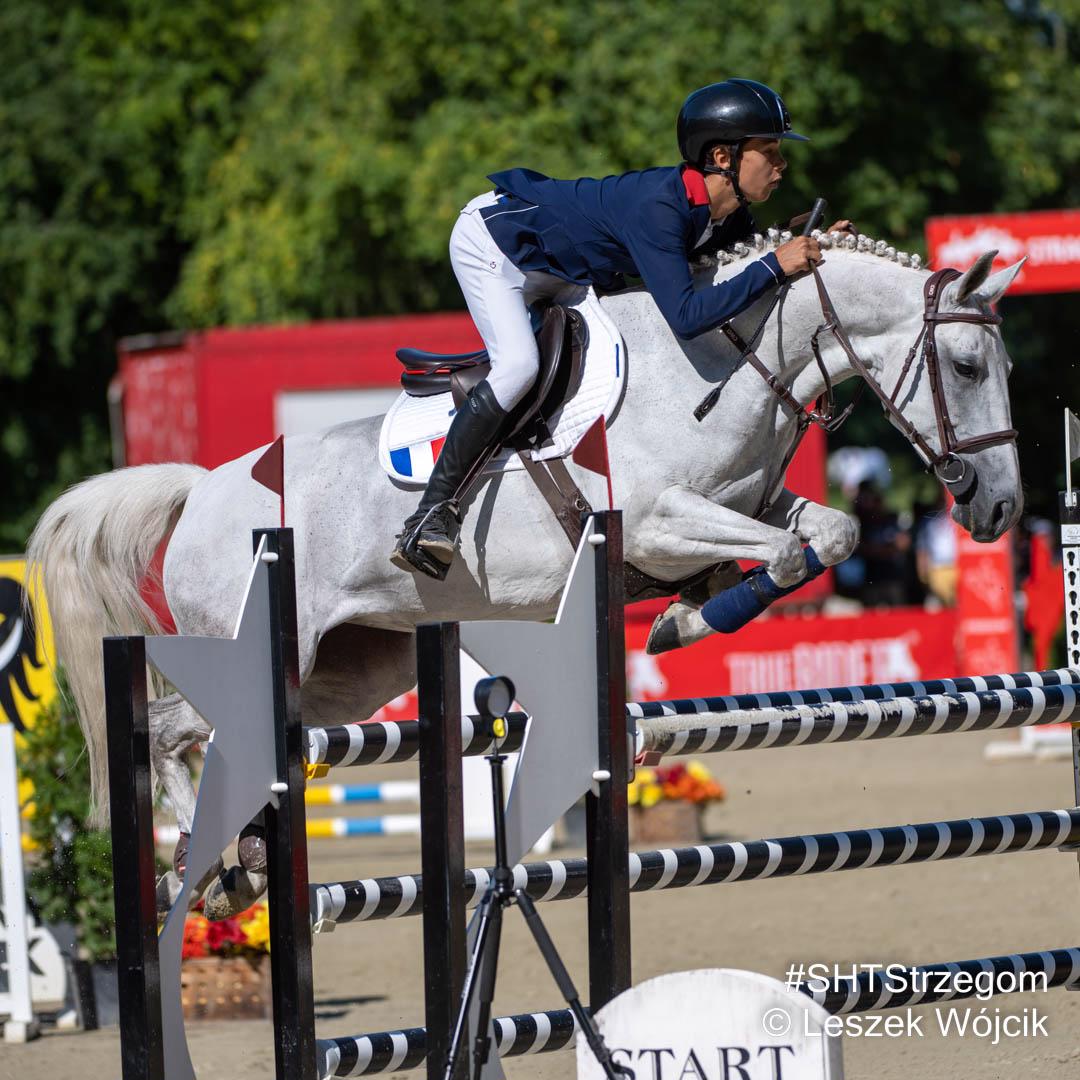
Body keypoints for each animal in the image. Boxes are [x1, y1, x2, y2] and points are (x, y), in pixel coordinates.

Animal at [25, 232, 1019, 915]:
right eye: (967, 364)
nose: (1001, 509)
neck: (726, 364)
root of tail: (201, 491)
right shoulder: (655, 522)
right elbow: (778, 552)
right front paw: (683, 621)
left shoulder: (756, 504)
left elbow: (829, 533)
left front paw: (691, 613)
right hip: (262, 652)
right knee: (169, 733)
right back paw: (205, 864)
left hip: (352, 671)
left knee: (215, 737)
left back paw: (238, 866)